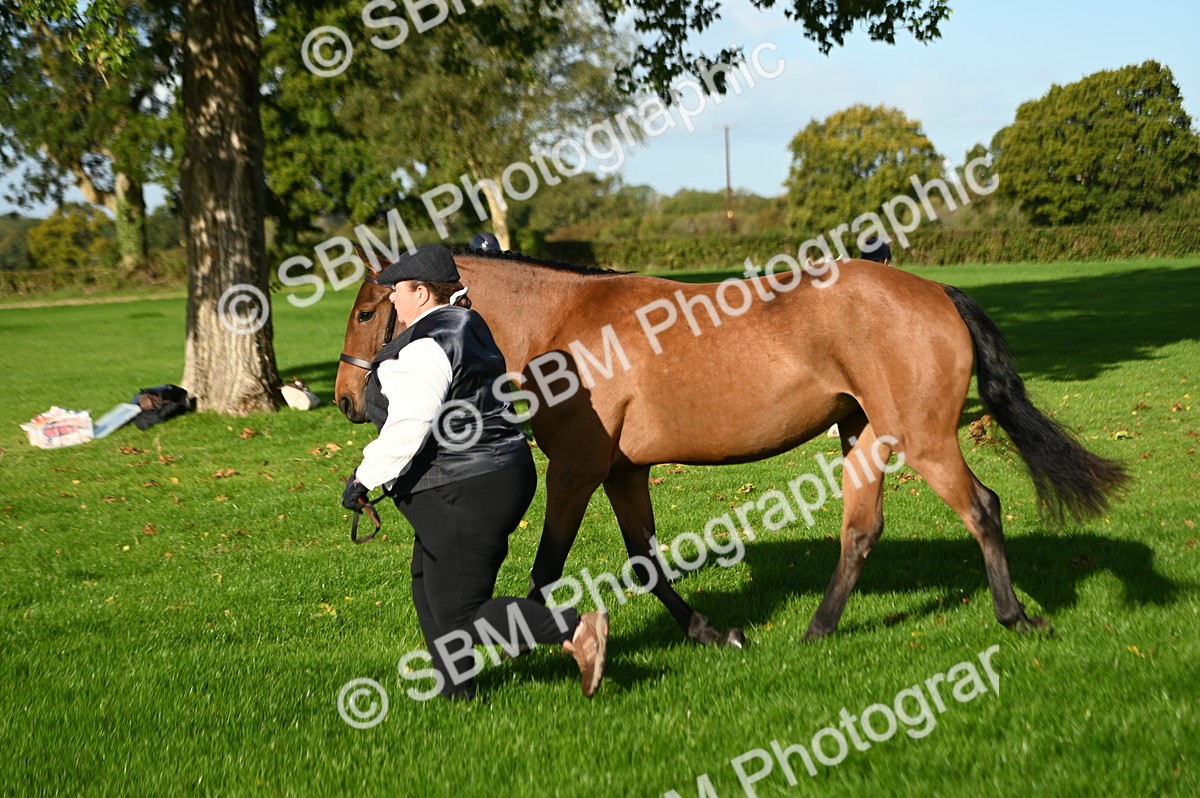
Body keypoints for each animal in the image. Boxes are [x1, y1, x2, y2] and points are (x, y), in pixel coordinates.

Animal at [335, 248, 1128, 647]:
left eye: (370, 310)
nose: (345, 399)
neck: (563, 320)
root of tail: (935, 290)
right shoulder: (624, 472)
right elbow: (646, 562)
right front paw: (710, 632)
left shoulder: (577, 470)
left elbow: (546, 568)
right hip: (864, 438)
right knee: (861, 531)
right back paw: (816, 631)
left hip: (926, 439)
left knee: (982, 508)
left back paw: (1015, 617)